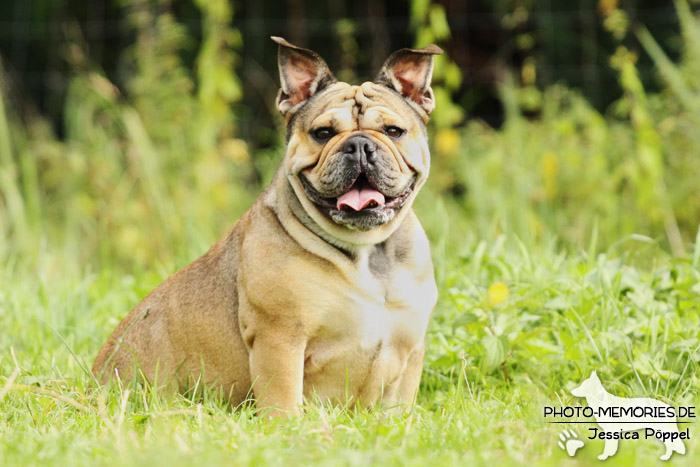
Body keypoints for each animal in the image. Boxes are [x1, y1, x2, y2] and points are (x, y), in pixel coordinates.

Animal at [92, 36, 440, 416]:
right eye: (323, 133)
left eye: (393, 131)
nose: (359, 144)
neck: (367, 251)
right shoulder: (280, 337)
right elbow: (283, 398)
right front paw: (287, 425)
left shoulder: (409, 351)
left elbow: (398, 406)